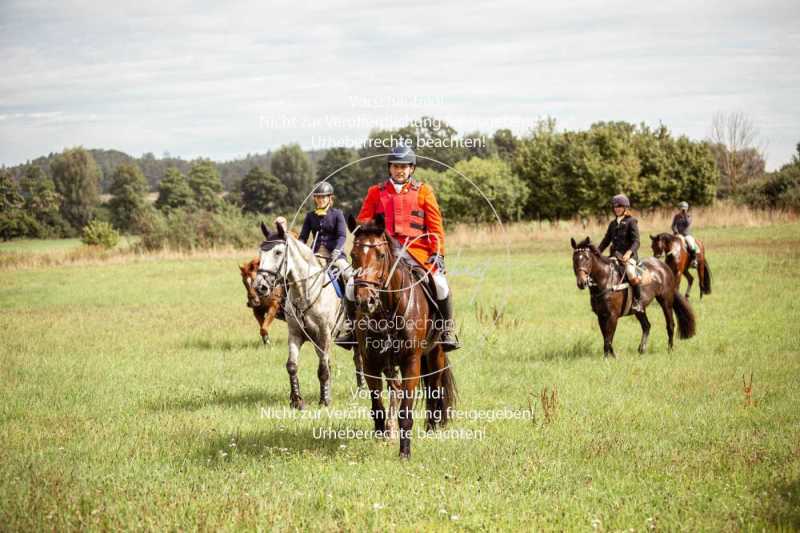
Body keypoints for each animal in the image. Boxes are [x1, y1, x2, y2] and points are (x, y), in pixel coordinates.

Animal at [256, 219, 344, 408]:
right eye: (260, 252)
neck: (305, 291)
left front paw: (324, 401)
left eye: (278, 252)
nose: (260, 286)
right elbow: (292, 365)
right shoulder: (295, 334)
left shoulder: (324, 334)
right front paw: (297, 401)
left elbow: (323, 369)